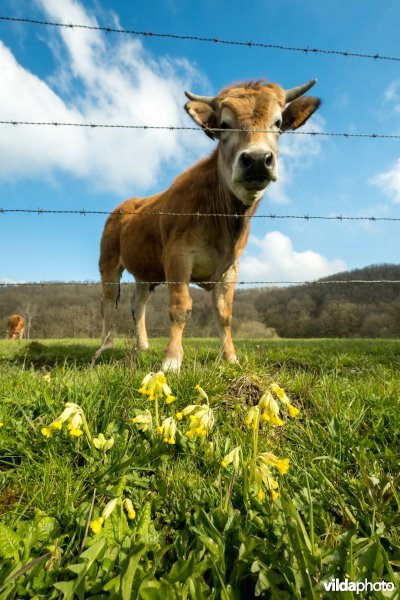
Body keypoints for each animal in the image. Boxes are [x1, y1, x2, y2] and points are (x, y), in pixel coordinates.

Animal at [100, 77, 322, 368]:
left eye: (277, 123)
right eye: (224, 124)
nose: (257, 160)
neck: (224, 223)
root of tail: (128, 203)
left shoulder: (231, 267)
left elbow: (224, 313)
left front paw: (230, 357)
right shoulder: (177, 256)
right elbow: (180, 308)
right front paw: (172, 360)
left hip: (145, 271)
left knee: (138, 305)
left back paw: (143, 347)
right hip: (109, 262)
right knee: (107, 302)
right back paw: (104, 347)